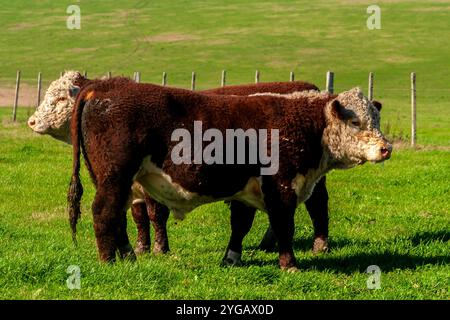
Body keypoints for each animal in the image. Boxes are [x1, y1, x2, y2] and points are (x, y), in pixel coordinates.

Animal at [29, 70, 330, 260]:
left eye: (59, 98)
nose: (31, 121)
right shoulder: (132, 188)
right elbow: (134, 218)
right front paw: (140, 248)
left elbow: (154, 216)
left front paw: (158, 249)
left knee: (317, 205)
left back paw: (320, 244)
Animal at [67, 78, 394, 270]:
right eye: (355, 121)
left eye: (376, 119)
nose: (386, 148)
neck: (304, 122)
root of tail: (105, 86)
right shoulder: (281, 187)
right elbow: (284, 226)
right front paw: (289, 264)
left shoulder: (246, 190)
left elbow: (241, 225)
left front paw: (231, 258)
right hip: (115, 176)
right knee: (104, 212)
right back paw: (109, 260)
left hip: (113, 180)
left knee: (117, 215)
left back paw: (128, 255)